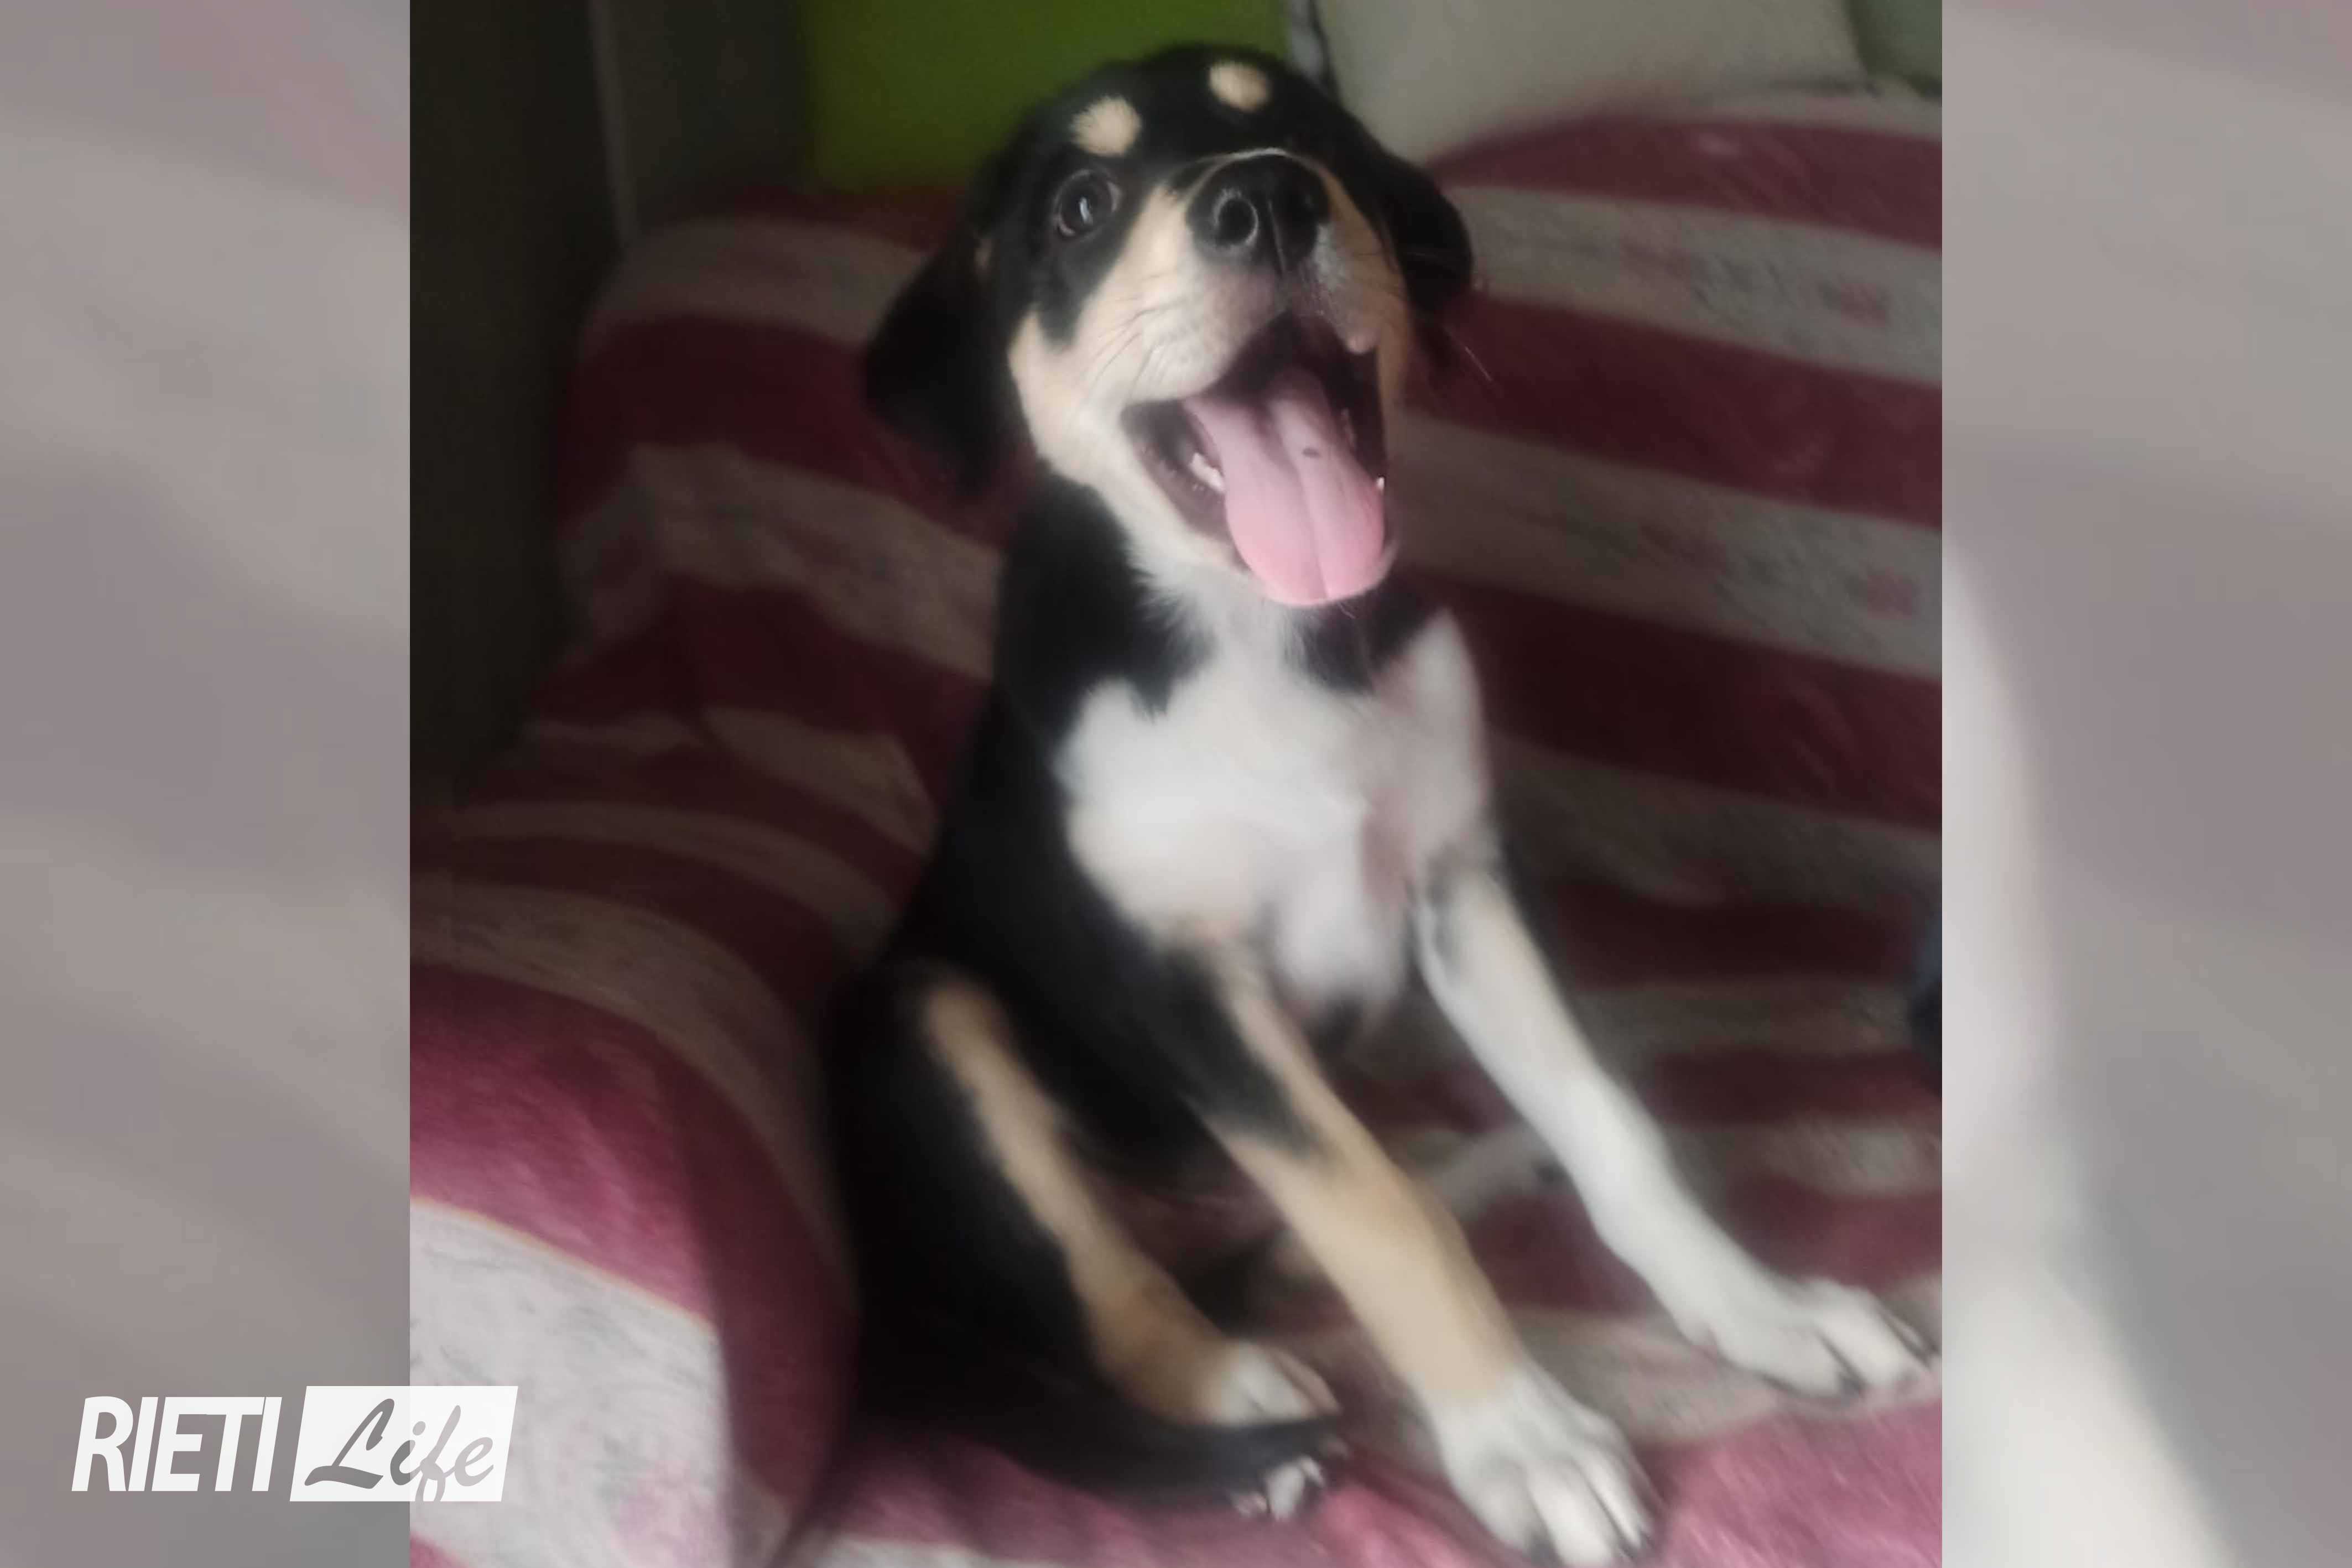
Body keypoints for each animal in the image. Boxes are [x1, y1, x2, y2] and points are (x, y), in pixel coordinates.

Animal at [829, 46, 1933, 1566]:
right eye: (1082, 204)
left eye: (1305, 134)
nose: (1267, 201)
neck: (1266, 639)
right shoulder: (1188, 985)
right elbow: (1378, 1216)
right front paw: (1523, 1436)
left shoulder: (1465, 886)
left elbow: (1609, 1124)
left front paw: (1755, 1306)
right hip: (923, 1017)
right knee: (1110, 1284)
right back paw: (1236, 1408)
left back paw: (1484, 1166)